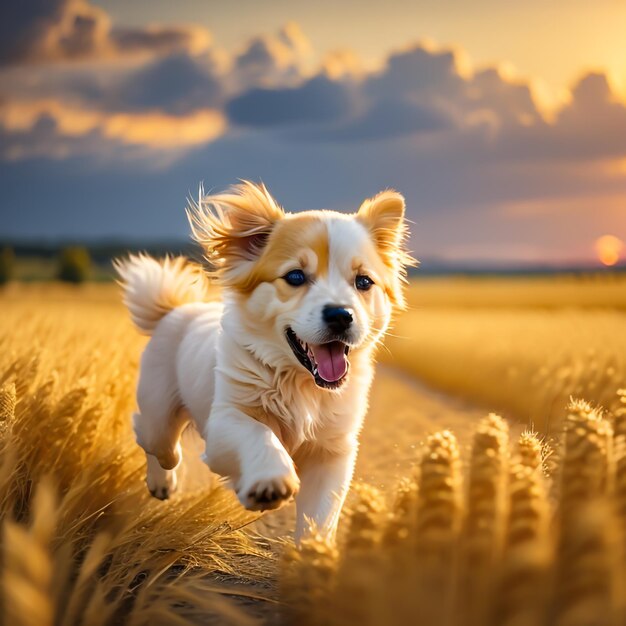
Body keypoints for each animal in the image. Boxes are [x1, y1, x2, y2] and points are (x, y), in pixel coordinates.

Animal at [114, 180, 412, 540]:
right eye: (295, 277)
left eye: (364, 281)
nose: (341, 315)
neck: (300, 385)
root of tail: (175, 310)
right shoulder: (225, 420)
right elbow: (260, 434)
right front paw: (272, 481)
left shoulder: (333, 450)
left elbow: (319, 517)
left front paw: (313, 550)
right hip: (159, 410)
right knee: (155, 441)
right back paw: (162, 483)